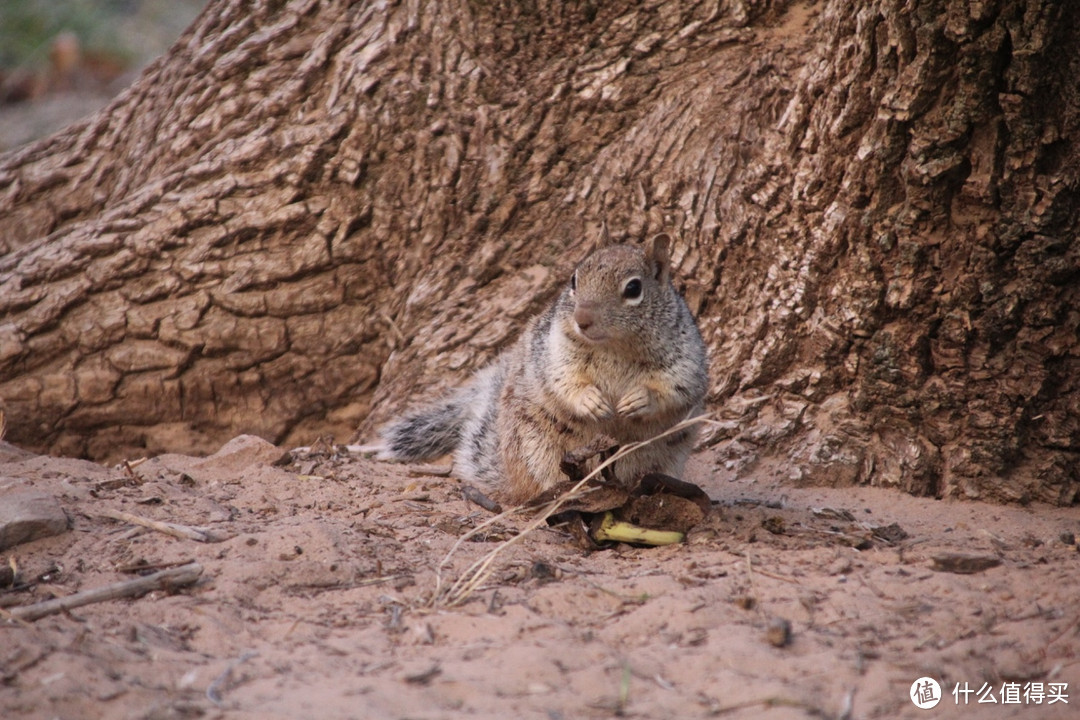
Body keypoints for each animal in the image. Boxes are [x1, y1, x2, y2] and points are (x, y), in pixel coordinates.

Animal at [380, 234, 708, 505]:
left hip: (664, 458)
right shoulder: (555, 351)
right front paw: (590, 401)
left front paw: (639, 399)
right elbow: (565, 382)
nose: (582, 320)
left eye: (634, 288)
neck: (614, 347)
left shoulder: (685, 359)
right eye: (574, 280)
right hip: (537, 449)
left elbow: (676, 388)